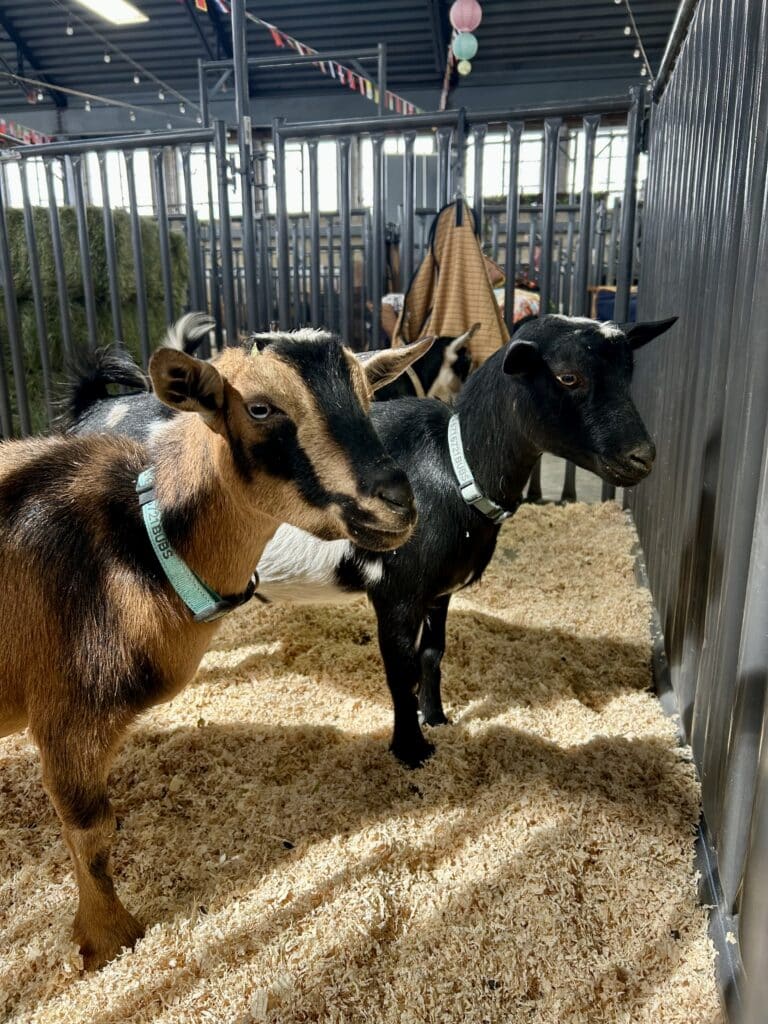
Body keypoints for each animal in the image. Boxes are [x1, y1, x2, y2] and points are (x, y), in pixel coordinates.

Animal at [0, 315, 432, 969]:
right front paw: (109, 939)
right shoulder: (65, 717)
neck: (143, 544)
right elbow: (92, 831)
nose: (396, 505)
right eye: (259, 407)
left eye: (366, 396)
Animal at [64, 314, 676, 772]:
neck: (455, 468)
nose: (643, 457)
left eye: (628, 372)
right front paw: (411, 751)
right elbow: (399, 669)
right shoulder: (396, 593)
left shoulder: (439, 592)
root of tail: (93, 410)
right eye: (568, 377)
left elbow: (431, 656)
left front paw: (438, 719)